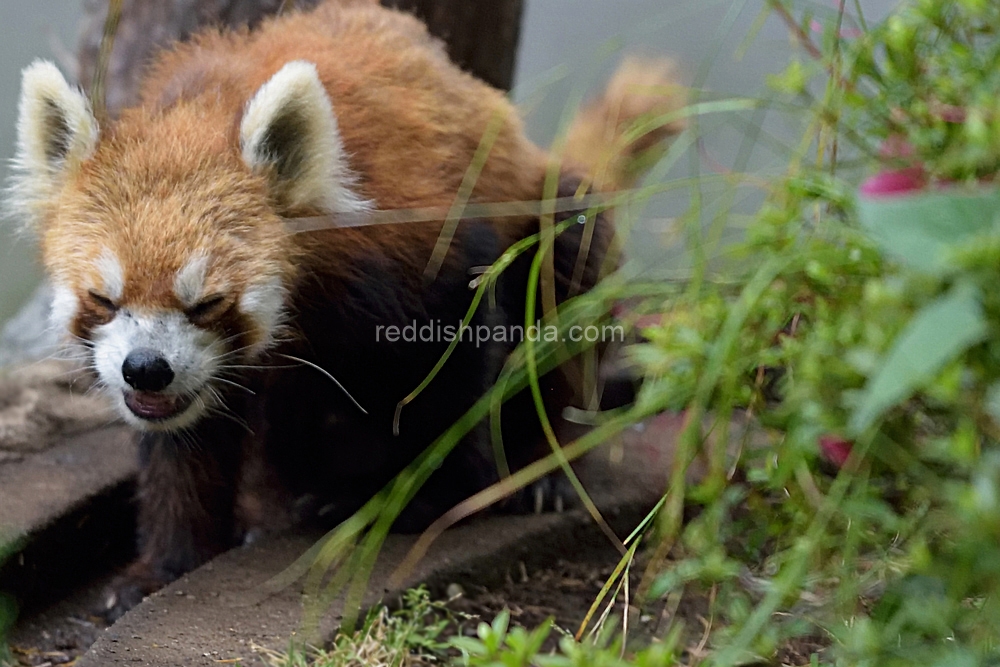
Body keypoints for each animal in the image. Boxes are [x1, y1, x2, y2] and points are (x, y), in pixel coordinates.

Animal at [7, 0, 684, 620]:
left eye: (208, 303)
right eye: (104, 300)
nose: (146, 368)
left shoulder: (413, 247)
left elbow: (447, 374)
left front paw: (424, 496)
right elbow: (184, 445)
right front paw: (163, 569)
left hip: (548, 214)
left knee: (564, 280)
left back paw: (537, 468)